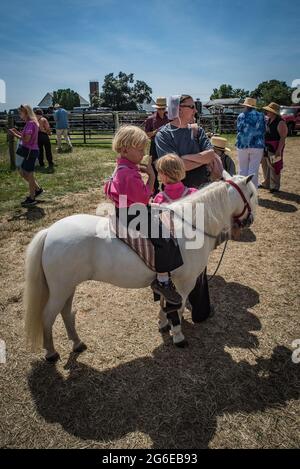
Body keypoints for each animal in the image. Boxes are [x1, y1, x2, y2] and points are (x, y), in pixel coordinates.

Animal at [24, 172, 256, 358]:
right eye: (252, 194)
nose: (250, 220)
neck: (191, 224)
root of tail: (49, 231)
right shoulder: (185, 282)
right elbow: (179, 307)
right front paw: (178, 335)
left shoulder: (171, 281)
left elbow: (165, 303)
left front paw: (163, 324)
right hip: (60, 288)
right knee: (47, 316)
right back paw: (51, 353)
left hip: (68, 287)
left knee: (65, 313)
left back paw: (77, 343)